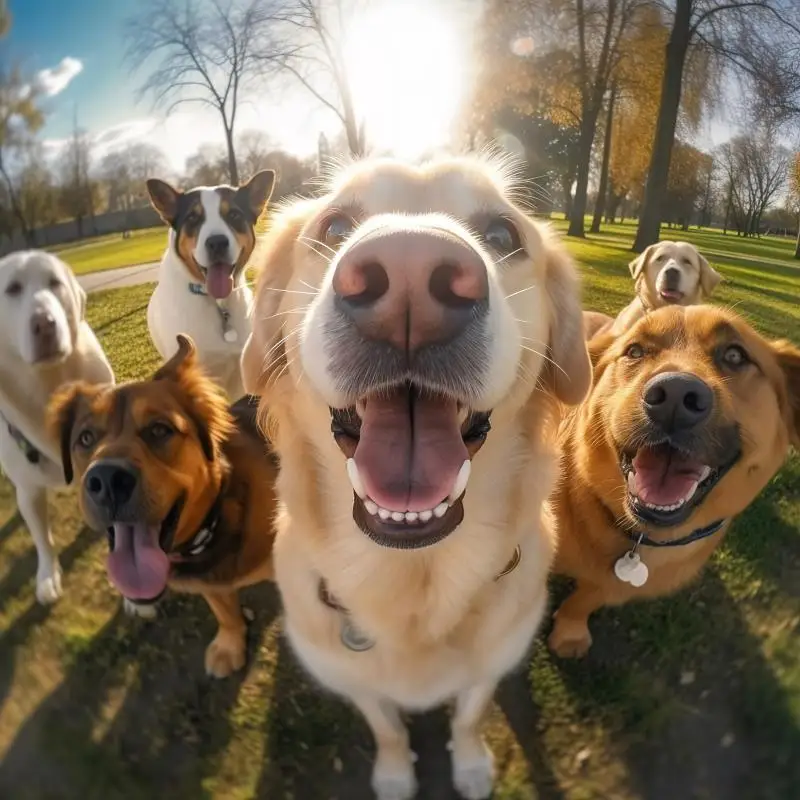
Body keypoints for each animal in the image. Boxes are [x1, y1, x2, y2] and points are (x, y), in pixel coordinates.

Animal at [0, 250, 114, 600]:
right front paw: (48, 576)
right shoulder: (29, 491)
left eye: (54, 283)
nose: (44, 324)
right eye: (12, 289)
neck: (49, 386)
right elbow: (42, 538)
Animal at [47, 334, 280, 680]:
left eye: (159, 429)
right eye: (85, 438)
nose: (107, 480)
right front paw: (230, 643)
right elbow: (224, 610)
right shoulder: (209, 582)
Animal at [241, 156, 592, 800]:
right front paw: (395, 774)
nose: (410, 271)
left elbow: (470, 715)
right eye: (334, 227)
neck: (410, 577)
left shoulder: (491, 663)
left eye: (503, 234)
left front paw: (471, 765)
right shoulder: (352, 677)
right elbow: (386, 727)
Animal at [548, 304, 800, 660]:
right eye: (635, 351)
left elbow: (584, 600)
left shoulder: (611, 584)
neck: (638, 536)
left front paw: (570, 630)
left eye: (734, 355)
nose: (675, 397)